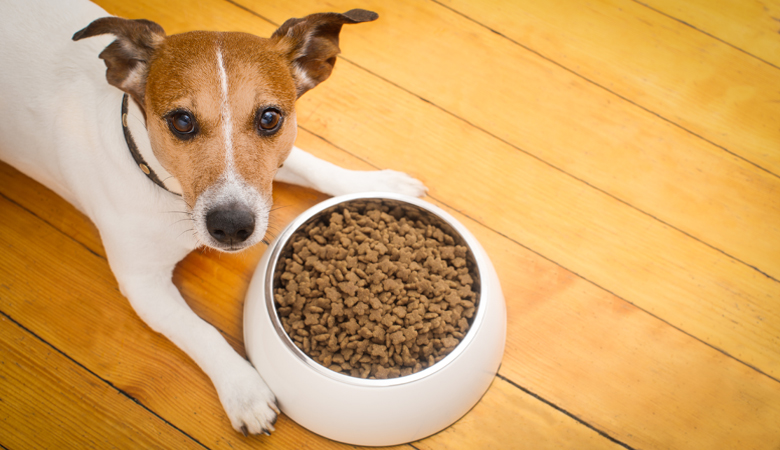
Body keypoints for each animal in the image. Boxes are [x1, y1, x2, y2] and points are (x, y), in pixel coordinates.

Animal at [0, 0, 426, 436]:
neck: (165, 188)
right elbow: (201, 331)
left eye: (270, 118)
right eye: (181, 121)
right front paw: (244, 391)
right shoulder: (142, 284)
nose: (232, 226)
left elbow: (309, 164)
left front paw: (376, 183)